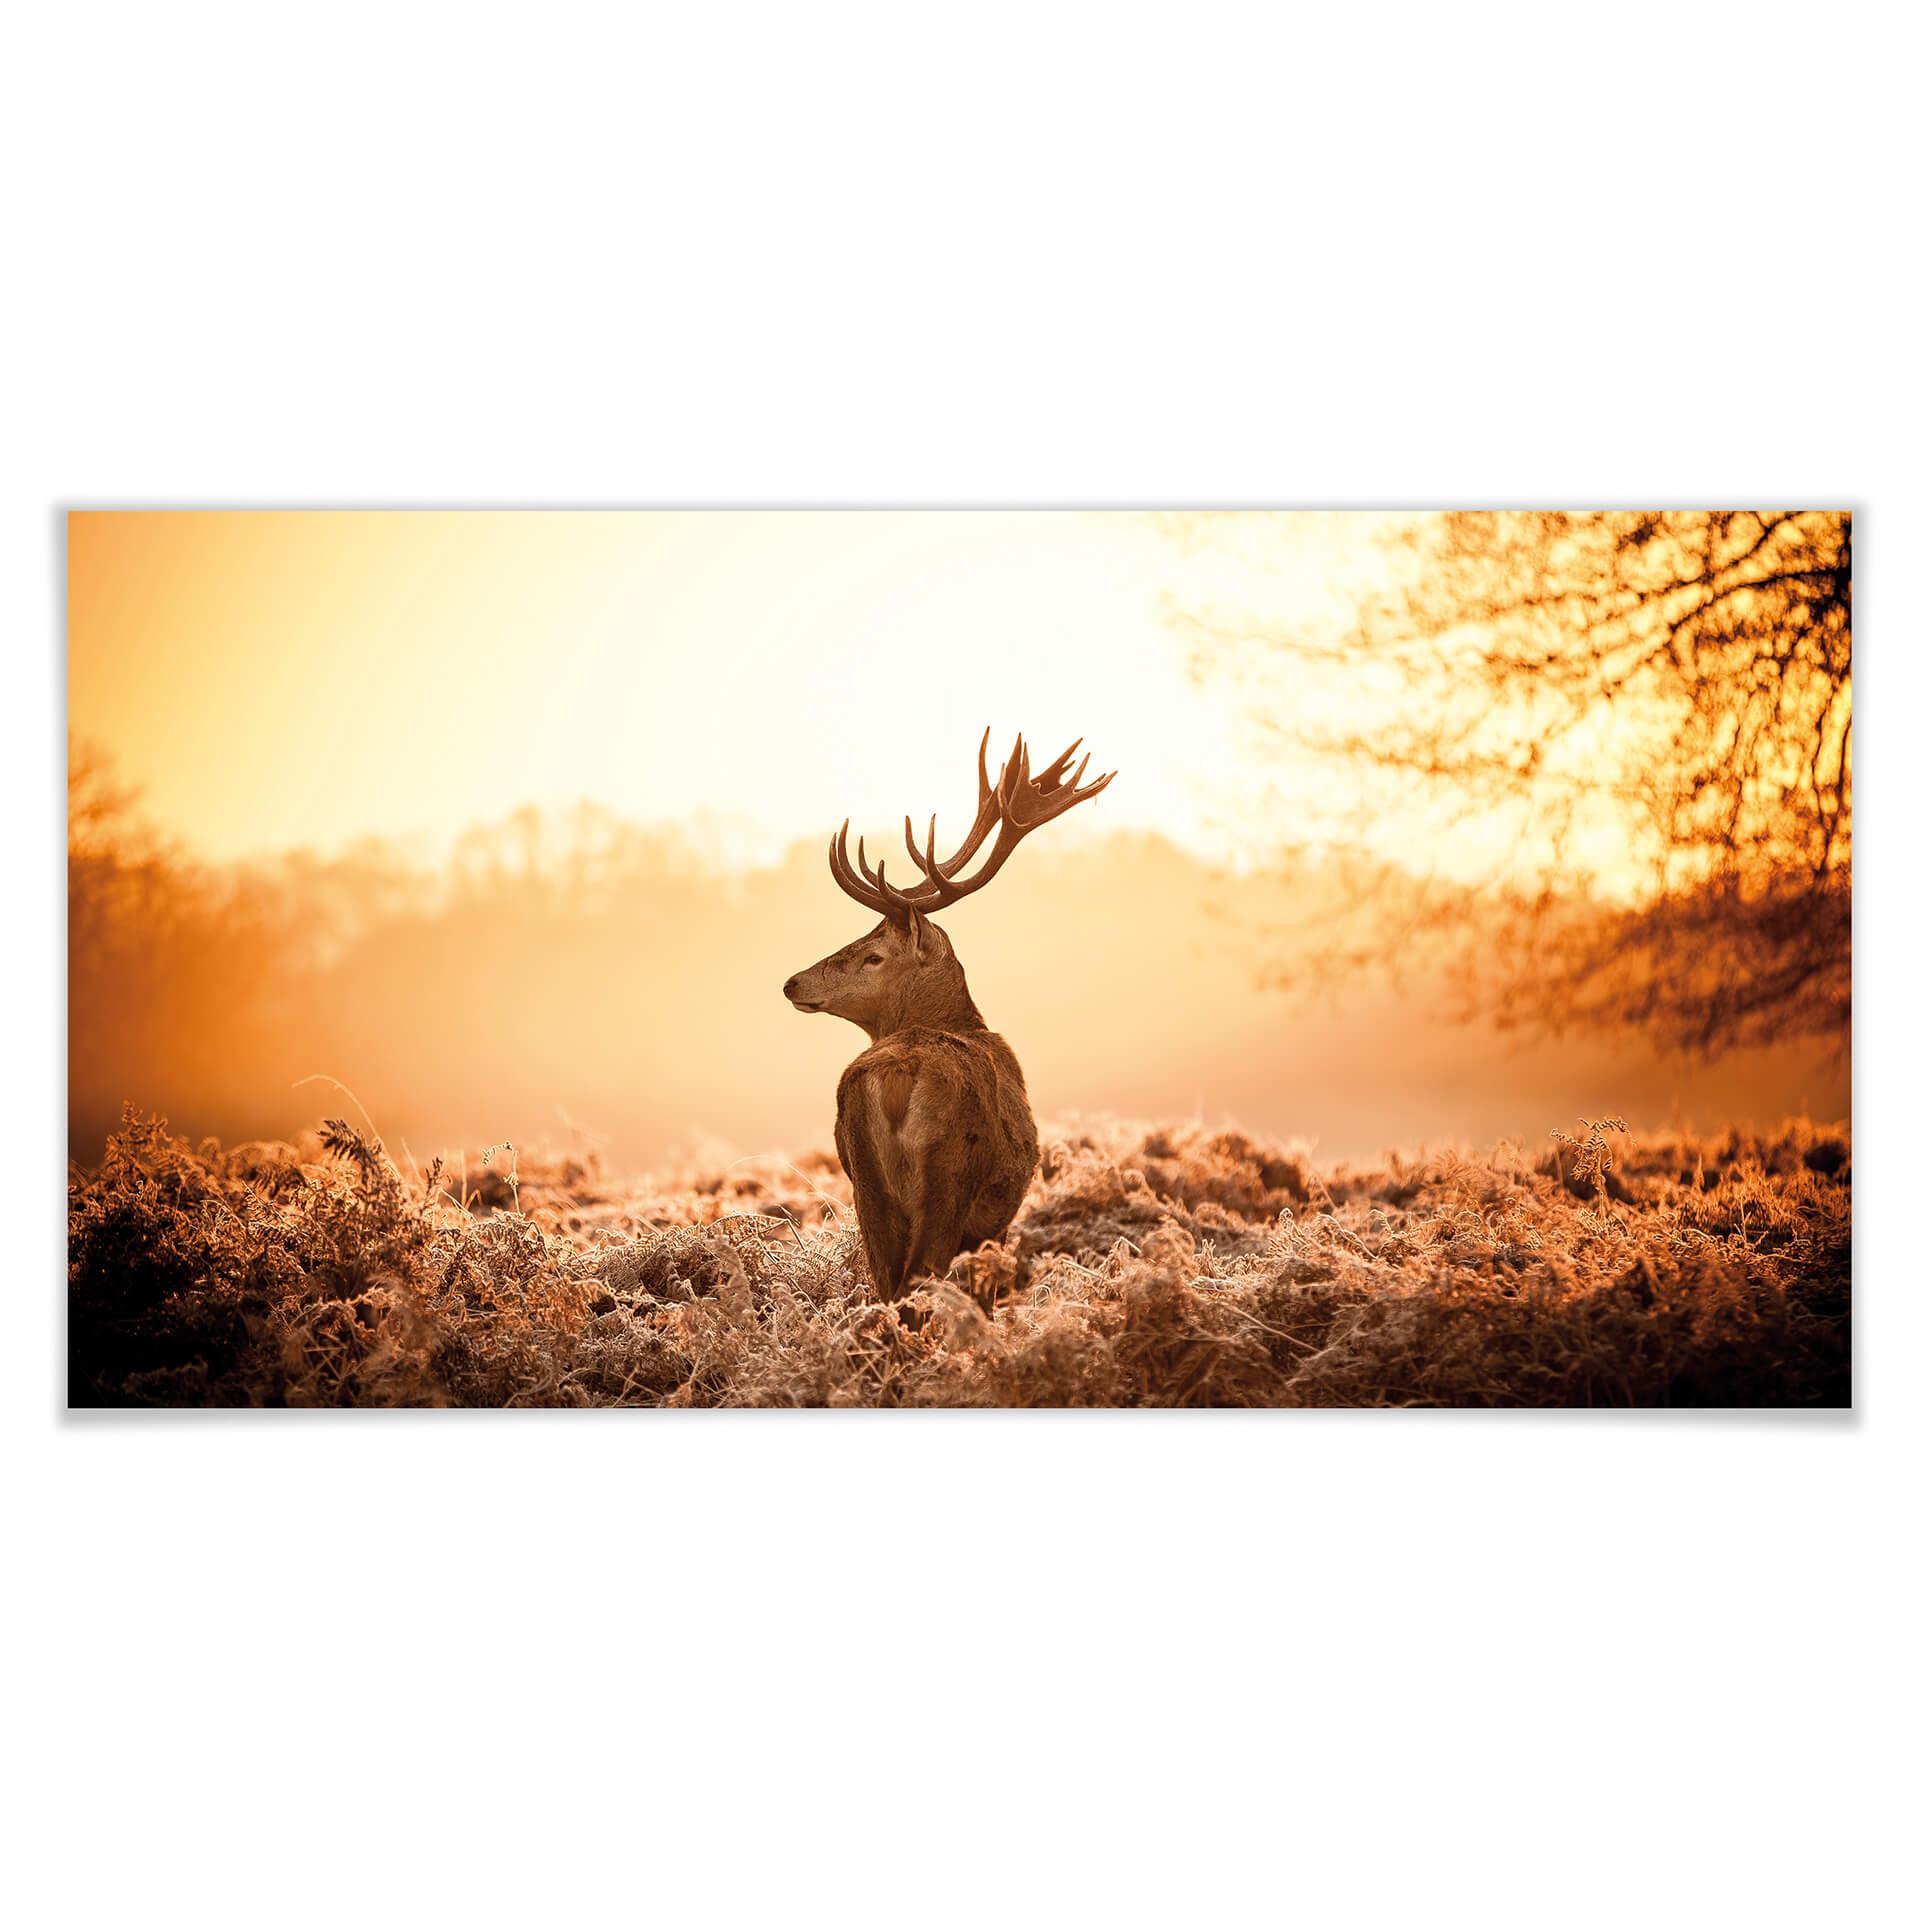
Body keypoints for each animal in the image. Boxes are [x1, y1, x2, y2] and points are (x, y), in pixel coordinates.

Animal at [783, 729, 1115, 1307]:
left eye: (873, 955)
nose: (793, 982)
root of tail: (897, 1075)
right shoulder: (994, 1222)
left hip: (865, 1182)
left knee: (886, 1283)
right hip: (949, 1177)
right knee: (918, 1282)